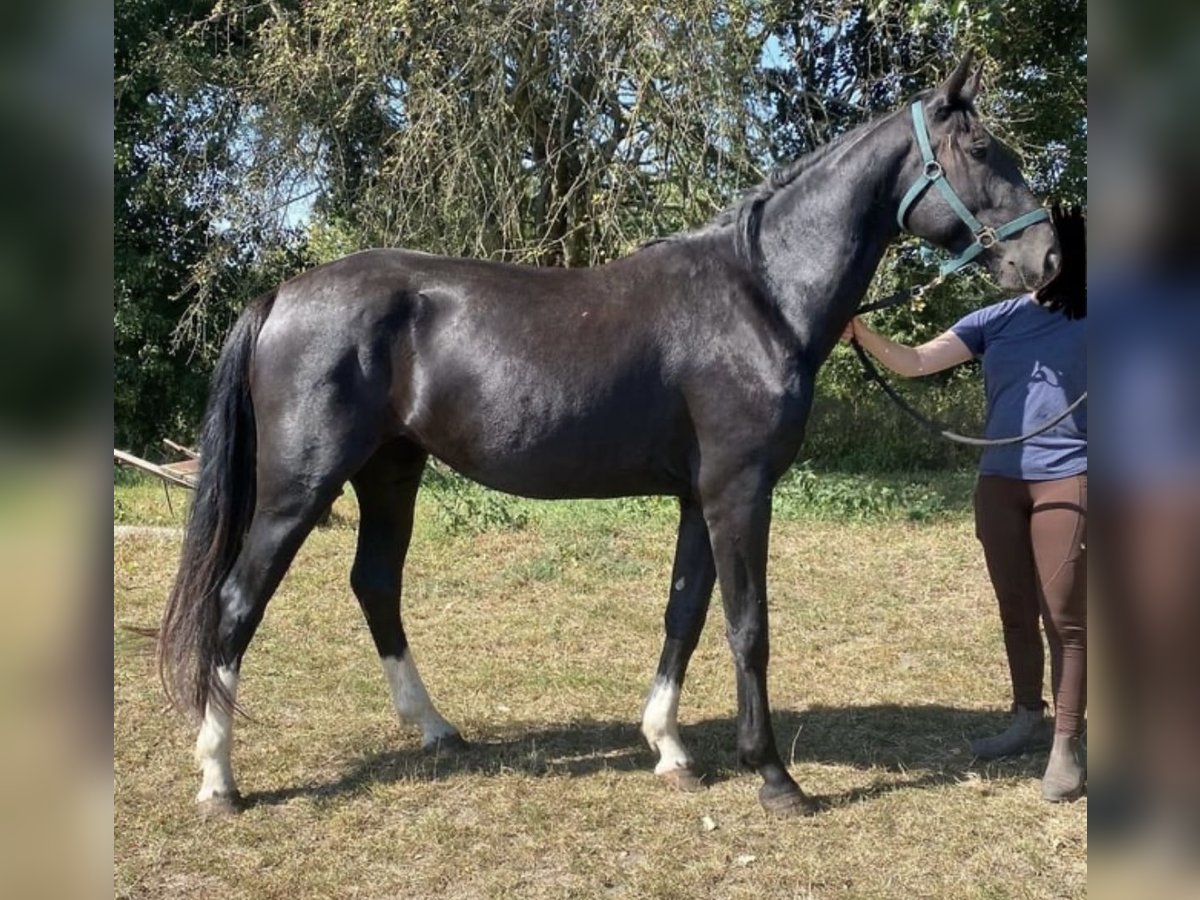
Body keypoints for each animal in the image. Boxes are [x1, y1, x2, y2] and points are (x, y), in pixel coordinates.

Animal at [159, 54, 1060, 816]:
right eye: (983, 149)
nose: (1048, 261)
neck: (758, 294)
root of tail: (281, 296)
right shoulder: (740, 491)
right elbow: (749, 627)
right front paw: (774, 778)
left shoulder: (701, 498)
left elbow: (685, 612)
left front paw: (670, 748)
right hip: (298, 487)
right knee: (237, 603)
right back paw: (218, 779)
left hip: (390, 471)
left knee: (375, 583)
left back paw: (436, 729)